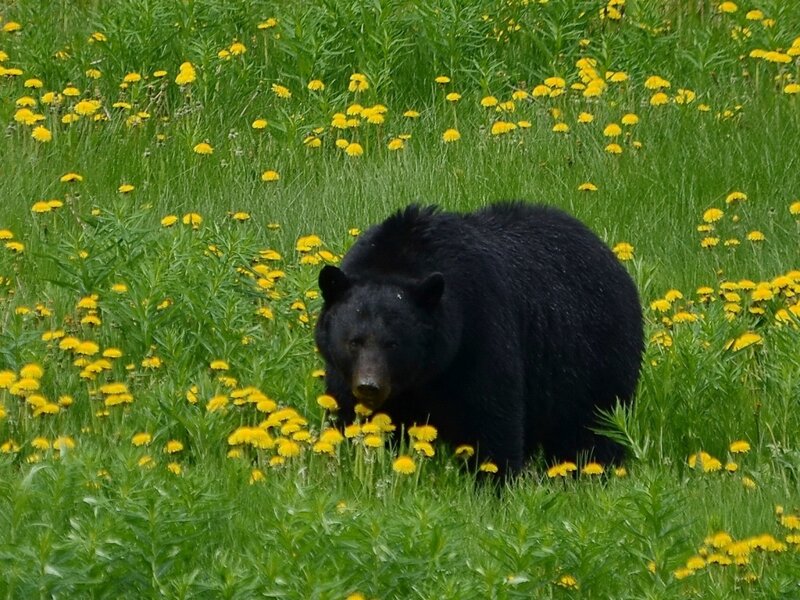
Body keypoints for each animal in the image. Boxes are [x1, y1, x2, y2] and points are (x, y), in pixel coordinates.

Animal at [315, 202, 644, 477]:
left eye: (393, 343)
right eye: (354, 341)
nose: (369, 386)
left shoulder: (479, 331)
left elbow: (491, 418)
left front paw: (492, 481)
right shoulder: (344, 374)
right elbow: (347, 414)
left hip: (594, 359)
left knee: (593, 430)